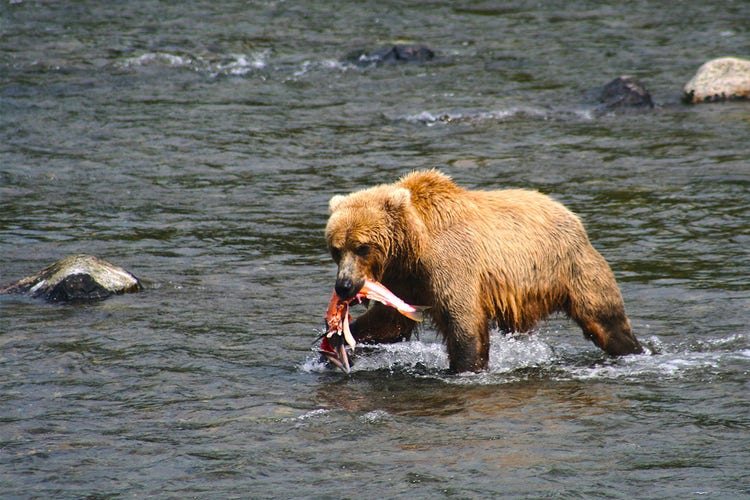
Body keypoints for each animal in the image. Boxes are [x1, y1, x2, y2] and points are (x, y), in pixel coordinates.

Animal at [325, 170, 644, 373]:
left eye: (362, 246)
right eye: (336, 248)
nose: (344, 286)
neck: (414, 245)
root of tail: (569, 213)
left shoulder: (450, 263)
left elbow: (463, 321)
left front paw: (464, 368)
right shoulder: (404, 280)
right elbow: (390, 322)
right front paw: (339, 339)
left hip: (569, 266)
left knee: (604, 318)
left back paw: (633, 349)